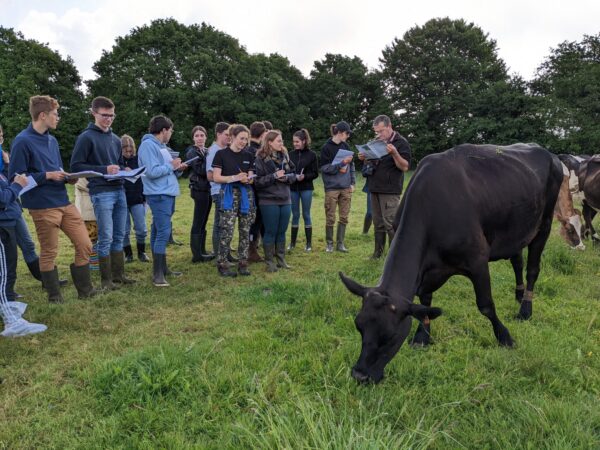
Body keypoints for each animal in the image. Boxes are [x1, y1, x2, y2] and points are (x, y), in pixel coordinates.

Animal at [342, 144, 568, 384]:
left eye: (390, 336)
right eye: (358, 326)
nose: (359, 375)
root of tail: (547, 152)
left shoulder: (478, 260)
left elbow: (486, 305)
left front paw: (505, 337)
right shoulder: (427, 272)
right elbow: (425, 302)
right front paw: (422, 336)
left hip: (544, 224)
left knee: (533, 269)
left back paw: (525, 309)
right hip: (515, 229)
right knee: (517, 260)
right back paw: (518, 294)